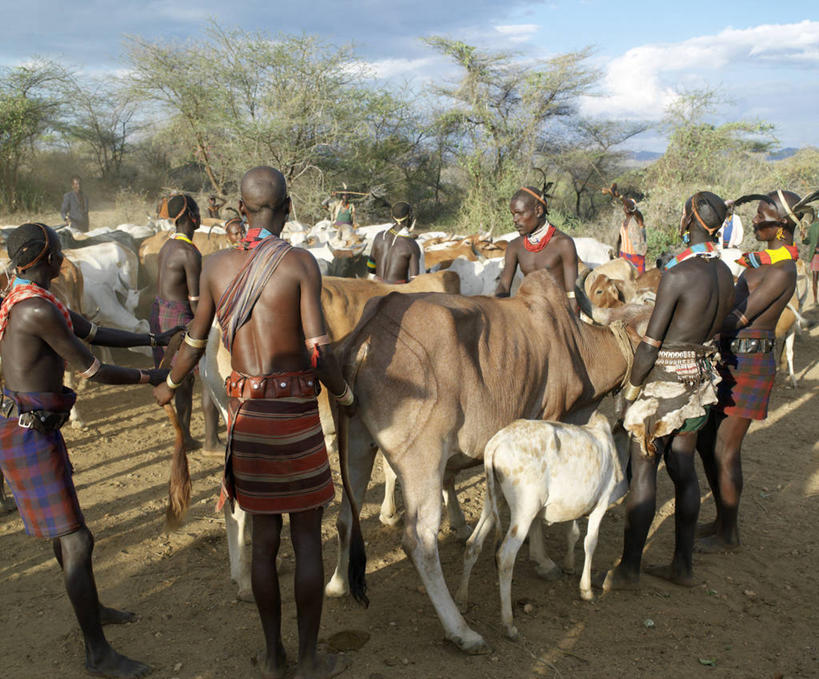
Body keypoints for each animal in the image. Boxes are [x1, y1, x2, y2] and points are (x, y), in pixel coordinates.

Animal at [454, 412, 628, 640]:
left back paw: (462, 601)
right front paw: (586, 590)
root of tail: (495, 444)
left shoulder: (574, 505)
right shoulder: (602, 504)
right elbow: (590, 543)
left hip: (494, 501)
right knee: (505, 556)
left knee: (473, 544)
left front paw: (569, 565)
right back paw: (509, 625)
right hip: (524, 509)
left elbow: (573, 533)